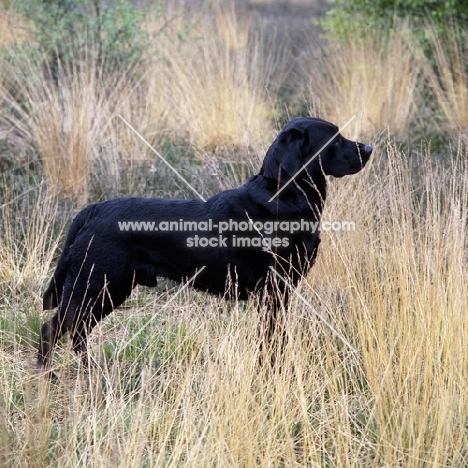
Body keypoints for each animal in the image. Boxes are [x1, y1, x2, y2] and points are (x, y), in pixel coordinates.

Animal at [35, 118, 372, 376]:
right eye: (335, 138)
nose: (369, 149)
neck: (282, 196)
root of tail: (92, 210)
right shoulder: (273, 291)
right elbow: (273, 341)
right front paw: (274, 374)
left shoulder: (278, 293)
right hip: (94, 285)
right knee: (53, 329)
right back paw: (46, 376)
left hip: (109, 289)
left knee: (78, 331)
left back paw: (91, 371)